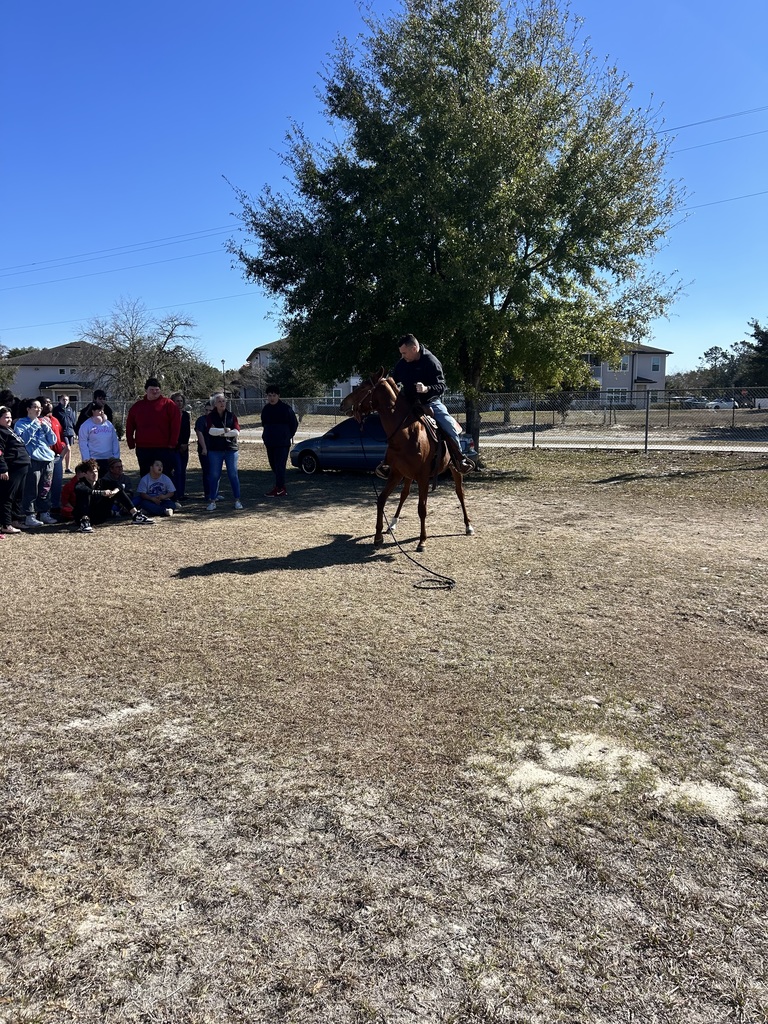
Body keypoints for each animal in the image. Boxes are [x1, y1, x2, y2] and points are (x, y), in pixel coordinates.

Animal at [340, 370, 474, 552]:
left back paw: (468, 526)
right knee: (404, 494)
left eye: (362, 387)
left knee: (460, 493)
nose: (342, 404)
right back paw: (392, 524)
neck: (406, 432)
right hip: (408, 476)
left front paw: (422, 541)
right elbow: (381, 500)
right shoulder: (396, 473)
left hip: (454, 469)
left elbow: (422, 508)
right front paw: (378, 536)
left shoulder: (423, 477)